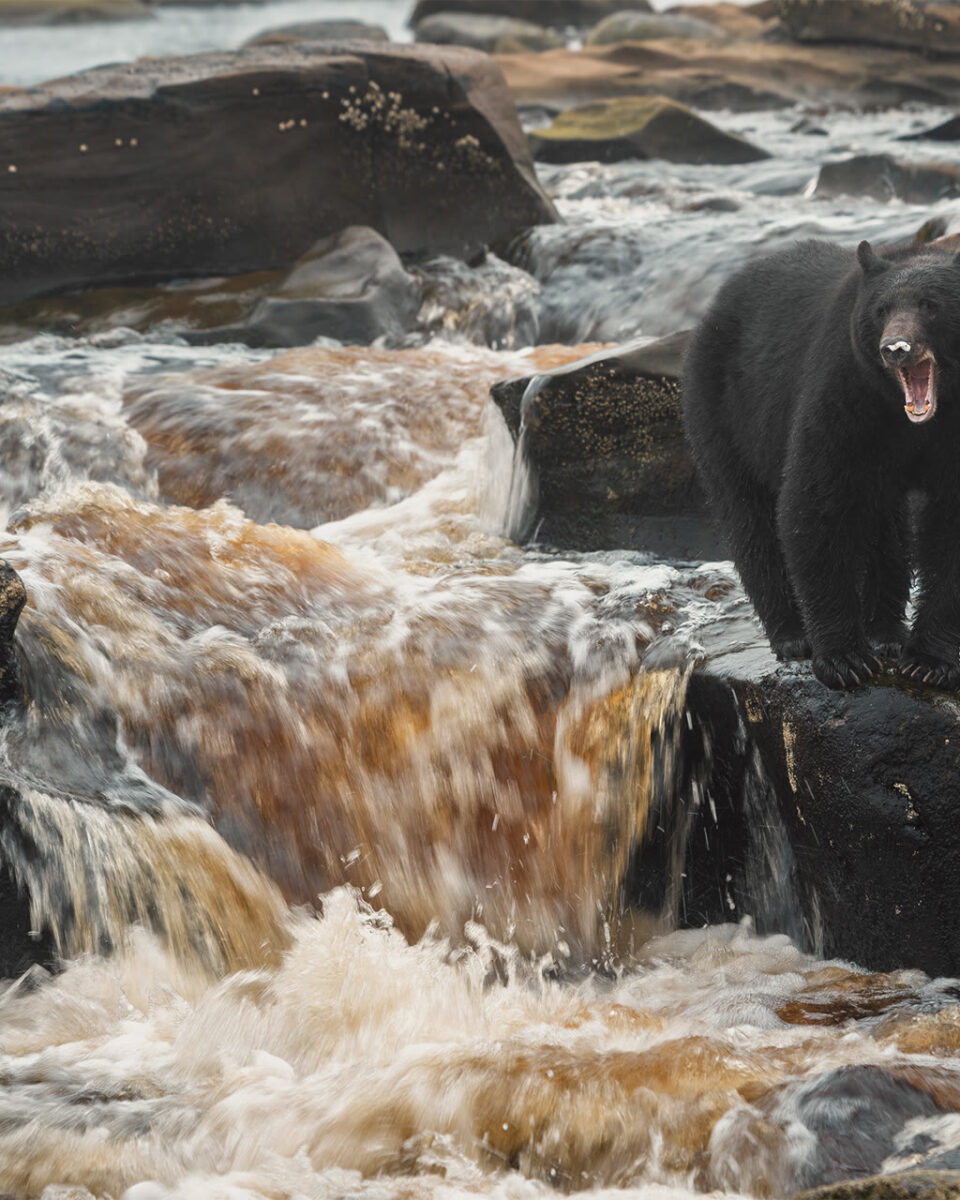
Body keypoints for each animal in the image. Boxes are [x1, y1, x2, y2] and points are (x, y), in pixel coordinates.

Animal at [681, 237, 960, 691]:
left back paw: (885, 632)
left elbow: (950, 524)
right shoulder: (844, 394)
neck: (913, 420)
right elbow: (814, 504)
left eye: (929, 304)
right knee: (749, 518)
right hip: (722, 411)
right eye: (881, 309)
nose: (895, 348)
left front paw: (930, 661)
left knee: (884, 527)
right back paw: (792, 634)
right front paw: (845, 659)